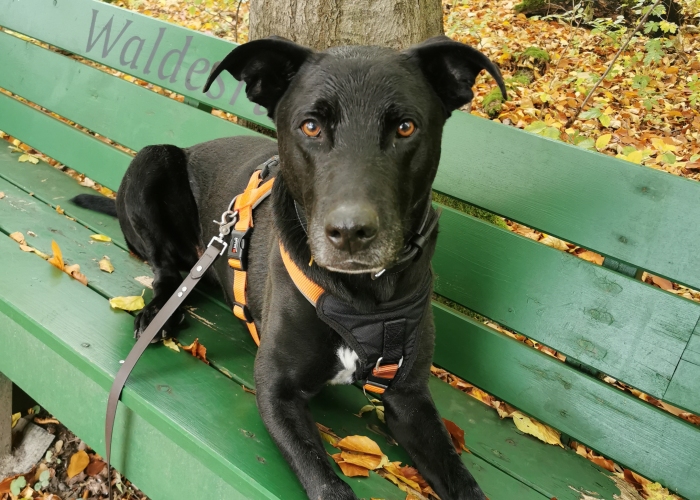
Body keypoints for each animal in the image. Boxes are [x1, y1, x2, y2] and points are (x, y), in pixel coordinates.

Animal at [74, 36, 506, 500]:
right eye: (311, 127)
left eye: (405, 127)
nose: (350, 232)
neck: (361, 297)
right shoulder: (276, 387)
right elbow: (327, 484)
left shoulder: (409, 398)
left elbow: (463, 481)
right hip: (151, 160)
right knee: (169, 270)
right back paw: (160, 313)